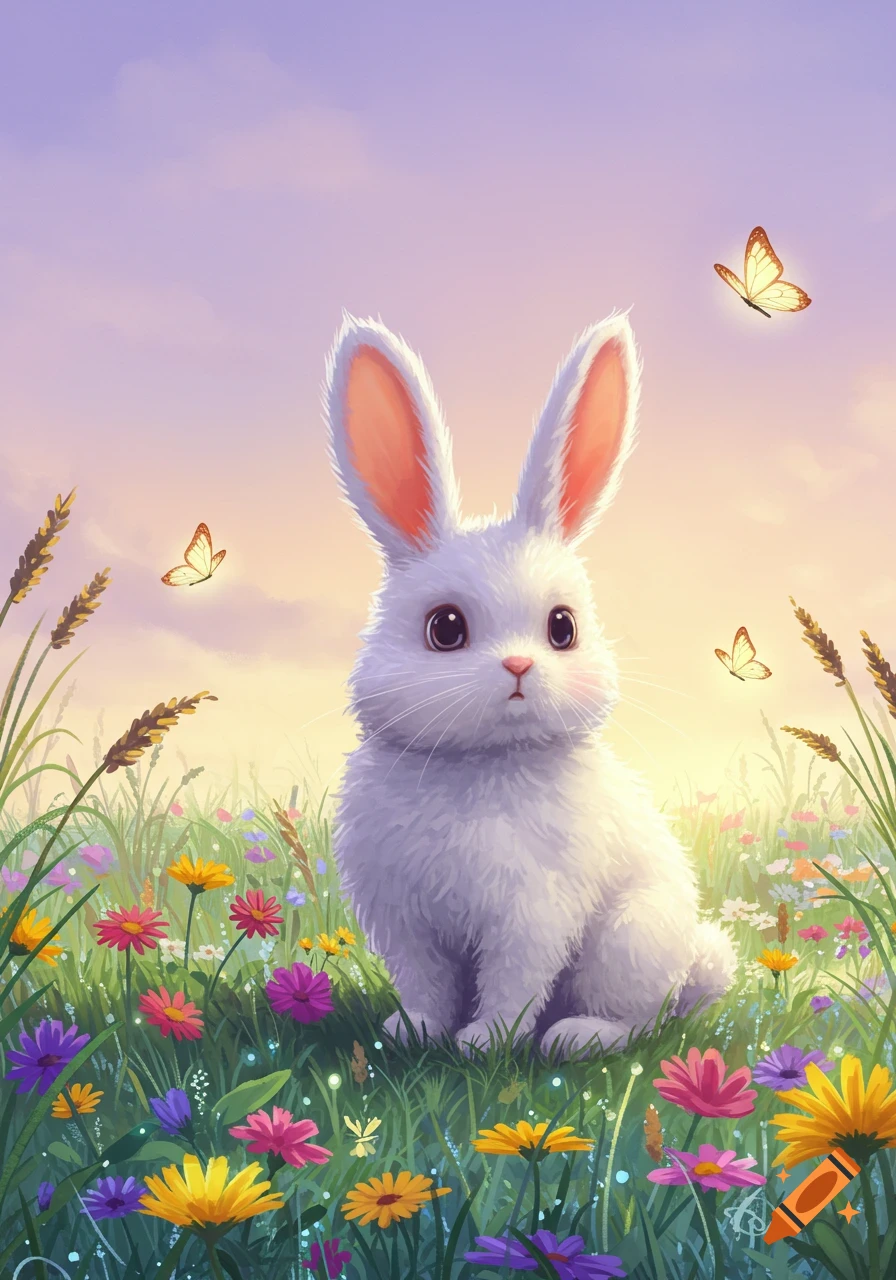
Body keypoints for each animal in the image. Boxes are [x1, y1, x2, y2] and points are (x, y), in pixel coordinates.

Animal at [324, 310, 737, 1060]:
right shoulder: (404, 921)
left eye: (562, 627)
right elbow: (426, 983)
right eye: (445, 628)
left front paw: (485, 1043)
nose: (519, 669)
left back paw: (576, 1037)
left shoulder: (533, 914)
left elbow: (515, 981)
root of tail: (695, 964)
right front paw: (415, 1031)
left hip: (628, 943)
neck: (481, 764)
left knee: (639, 1018)